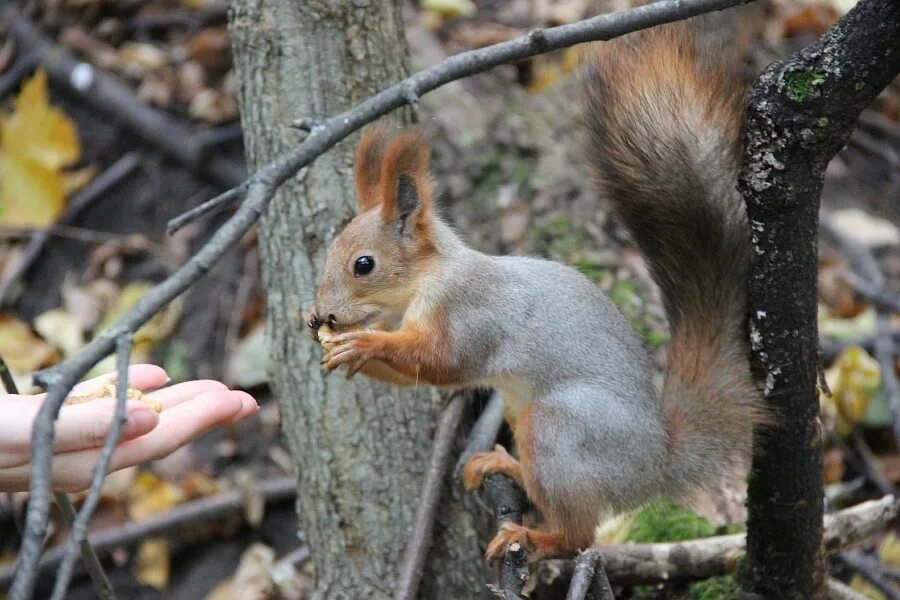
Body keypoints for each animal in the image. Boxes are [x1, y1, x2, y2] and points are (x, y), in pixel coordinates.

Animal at [308, 19, 768, 564]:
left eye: (364, 265)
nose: (319, 316)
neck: (425, 284)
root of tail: (656, 463)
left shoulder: (473, 313)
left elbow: (445, 362)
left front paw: (364, 344)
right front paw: (345, 354)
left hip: (558, 430)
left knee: (579, 537)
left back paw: (535, 537)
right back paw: (504, 467)